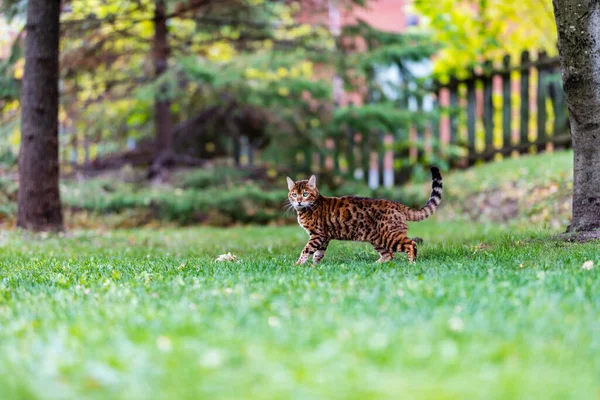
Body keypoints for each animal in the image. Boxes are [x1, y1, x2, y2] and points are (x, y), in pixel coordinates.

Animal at [286, 166, 440, 264]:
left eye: (305, 194)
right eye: (294, 194)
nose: (299, 201)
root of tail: (397, 204)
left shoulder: (318, 235)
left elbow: (306, 250)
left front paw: (297, 265)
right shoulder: (324, 237)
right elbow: (318, 254)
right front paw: (314, 267)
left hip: (390, 236)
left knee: (411, 244)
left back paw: (411, 263)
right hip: (377, 239)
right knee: (389, 255)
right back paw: (374, 265)